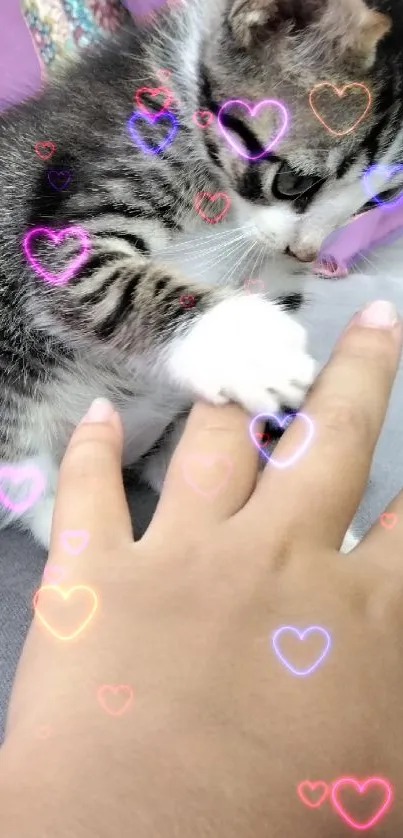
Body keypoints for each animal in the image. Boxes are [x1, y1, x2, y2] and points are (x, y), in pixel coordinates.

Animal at [0, 0, 400, 552]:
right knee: (37, 491)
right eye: (292, 181)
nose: (304, 249)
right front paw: (246, 344)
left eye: (376, 202)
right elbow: (94, 281)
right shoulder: (68, 210)